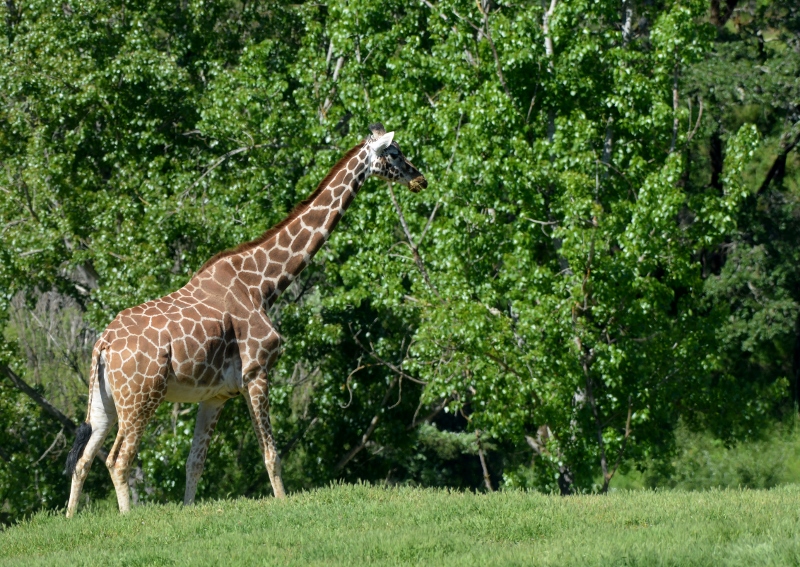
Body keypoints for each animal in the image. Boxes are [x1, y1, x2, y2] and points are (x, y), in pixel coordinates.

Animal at [64, 122, 424, 516]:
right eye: (394, 153)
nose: (419, 178)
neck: (262, 284)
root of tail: (103, 344)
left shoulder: (216, 394)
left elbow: (195, 461)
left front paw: (189, 511)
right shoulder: (257, 371)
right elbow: (272, 453)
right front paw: (283, 504)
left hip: (104, 402)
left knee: (83, 458)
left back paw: (70, 518)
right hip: (141, 396)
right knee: (118, 459)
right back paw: (129, 519)